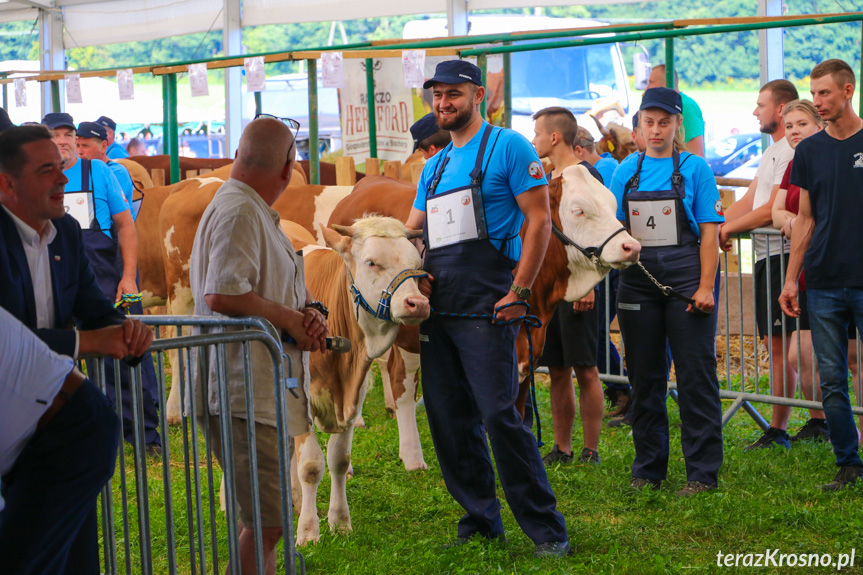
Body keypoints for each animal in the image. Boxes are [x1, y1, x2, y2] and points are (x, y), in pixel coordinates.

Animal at [296, 216, 430, 544]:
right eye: (371, 262)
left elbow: (339, 460)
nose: (418, 303)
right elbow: (310, 465)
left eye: (416, 264)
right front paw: (308, 531)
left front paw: (340, 522)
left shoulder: (353, 399)